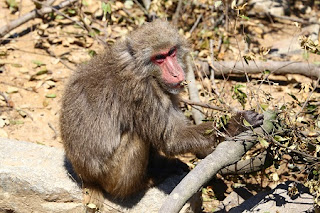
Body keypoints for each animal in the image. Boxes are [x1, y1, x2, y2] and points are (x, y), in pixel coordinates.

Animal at [58, 18, 264, 208]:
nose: (176, 73)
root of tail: (86, 177)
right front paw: (238, 122)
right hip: (109, 175)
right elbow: (173, 139)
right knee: (137, 138)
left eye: (171, 53)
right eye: (159, 58)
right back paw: (143, 183)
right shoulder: (144, 93)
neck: (140, 68)